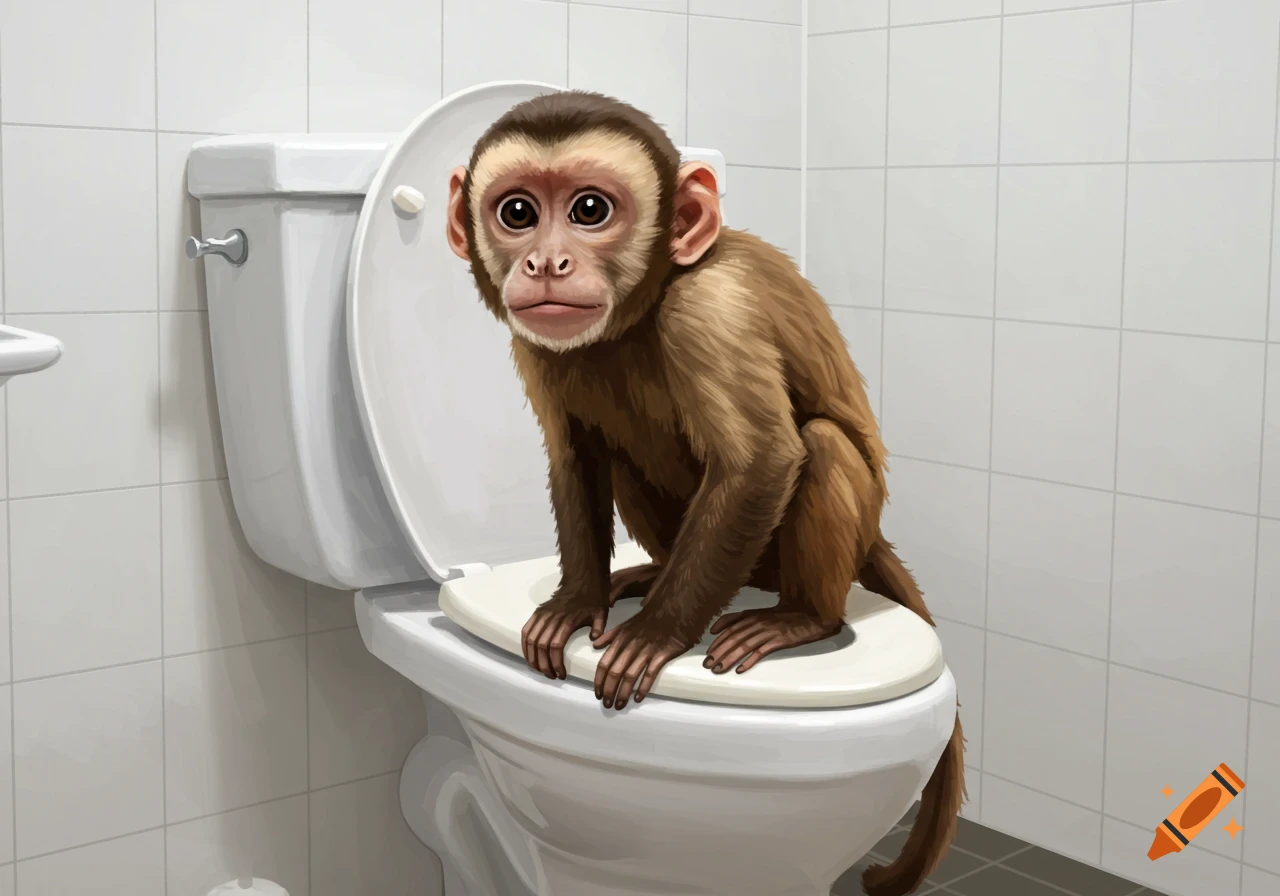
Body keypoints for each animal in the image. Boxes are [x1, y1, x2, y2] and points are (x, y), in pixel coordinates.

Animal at [445, 90, 965, 896]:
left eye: (590, 209)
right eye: (518, 212)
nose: (545, 261)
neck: (650, 297)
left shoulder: (711, 308)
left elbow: (763, 461)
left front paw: (657, 635)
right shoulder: (532, 338)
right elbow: (577, 458)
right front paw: (576, 602)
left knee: (819, 445)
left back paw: (800, 618)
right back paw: (648, 575)